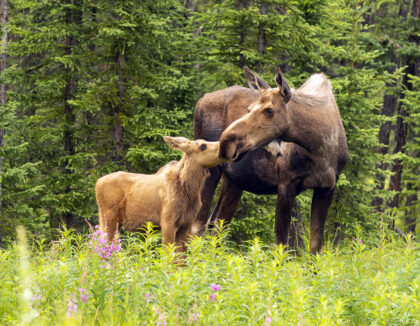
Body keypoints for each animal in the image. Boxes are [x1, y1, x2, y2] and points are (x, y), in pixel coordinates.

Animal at [95, 135, 223, 252]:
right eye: (203, 146)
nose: (222, 145)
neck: (189, 192)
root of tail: (97, 182)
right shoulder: (167, 221)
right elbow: (167, 254)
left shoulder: (186, 224)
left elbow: (181, 258)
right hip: (108, 217)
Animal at [194, 67, 348, 253]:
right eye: (248, 109)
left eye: (269, 110)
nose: (226, 142)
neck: (319, 149)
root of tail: (201, 99)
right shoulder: (285, 183)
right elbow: (282, 244)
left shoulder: (327, 186)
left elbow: (315, 246)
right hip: (209, 170)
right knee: (197, 224)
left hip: (233, 180)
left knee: (217, 223)